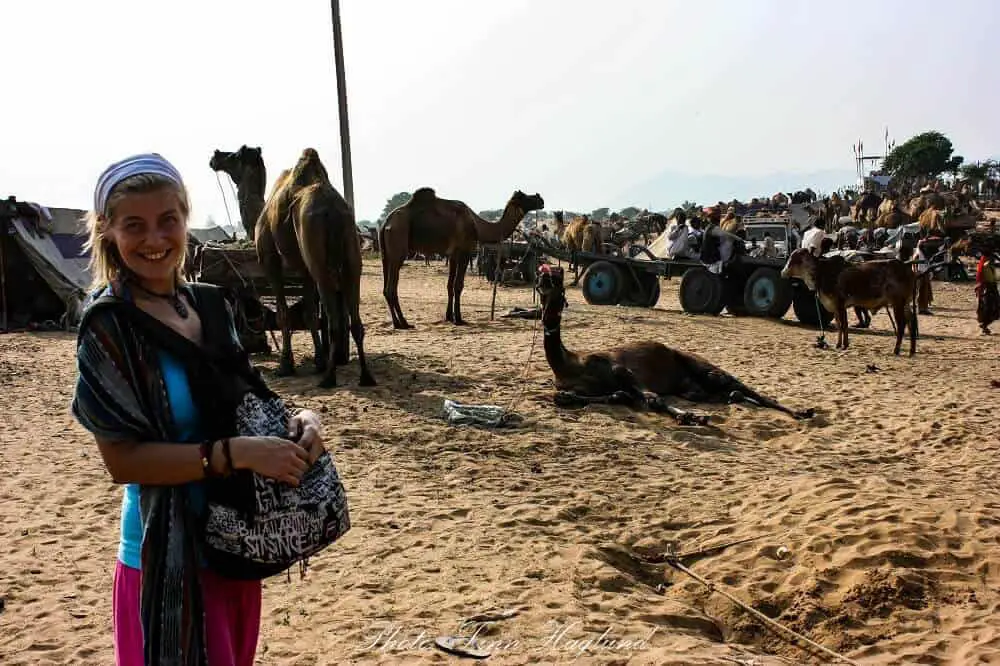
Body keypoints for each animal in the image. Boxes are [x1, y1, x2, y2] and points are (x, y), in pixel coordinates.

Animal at [254, 145, 376, 384]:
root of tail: (333, 209)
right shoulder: (304, 269)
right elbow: (309, 313)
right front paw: (318, 361)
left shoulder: (270, 260)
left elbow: (283, 314)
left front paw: (286, 365)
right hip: (351, 249)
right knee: (355, 319)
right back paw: (365, 376)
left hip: (318, 257)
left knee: (333, 320)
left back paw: (329, 378)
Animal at [378, 187, 544, 326]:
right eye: (524, 196)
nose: (540, 198)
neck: (478, 225)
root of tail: (386, 222)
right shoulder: (465, 251)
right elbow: (458, 285)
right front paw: (459, 319)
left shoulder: (453, 254)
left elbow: (449, 285)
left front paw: (449, 317)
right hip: (398, 245)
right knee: (391, 287)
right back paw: (403, 323)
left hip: (385, 254)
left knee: (386, 288)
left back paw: (398, 322)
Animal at [536, 262, 816, 422]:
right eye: (543, 280)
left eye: (558, 282)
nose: (543, 279)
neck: (568, 364)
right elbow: (570, 396)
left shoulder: (619, 368)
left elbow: (651, 397)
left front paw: (691, 417)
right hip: (694, 386)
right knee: (725, 392)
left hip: (703, 366)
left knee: (738, 385)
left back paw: (802, 411)